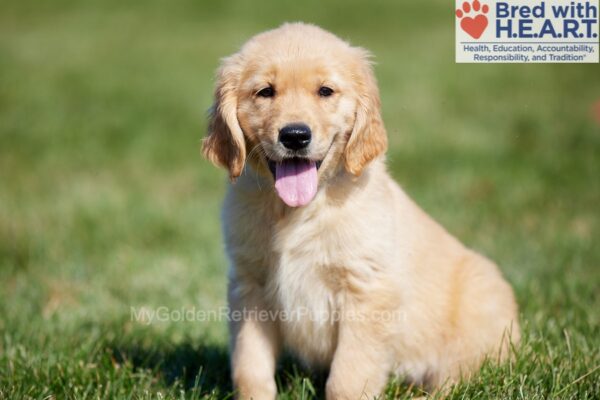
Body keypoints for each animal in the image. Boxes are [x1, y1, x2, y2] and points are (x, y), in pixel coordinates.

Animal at [203, 22, 520, 400]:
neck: (300, 211)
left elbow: (348, 375)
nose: (295, 136)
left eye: (325, 91)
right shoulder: (249, 284)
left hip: (480, 306)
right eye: (265, 92)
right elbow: (250, 364)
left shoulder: (367, 290)